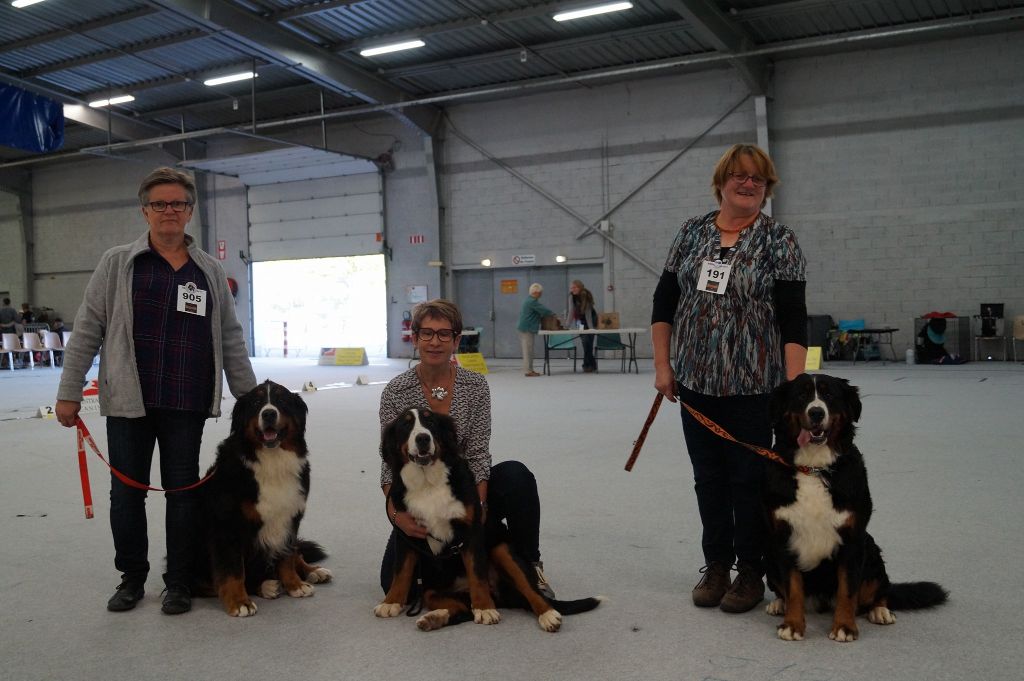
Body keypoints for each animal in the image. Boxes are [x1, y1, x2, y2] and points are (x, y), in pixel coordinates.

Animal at [192, 378, 331, 614]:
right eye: (256, 402)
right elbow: (233, 570)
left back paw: (313, 572)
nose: (268, 414)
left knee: (297, 553)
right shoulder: (227, 525)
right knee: (205, 583)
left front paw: (295, 585)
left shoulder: (290, 517)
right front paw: (239, 602)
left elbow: (287, 556)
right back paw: (266, 586)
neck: (272, 461)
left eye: (282, 401)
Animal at [376, 405, 602, 630]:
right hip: (430, 590)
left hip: (503, 550)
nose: (423, 438)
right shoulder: (406, 532)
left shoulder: (471, 531)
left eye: (430, 422)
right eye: (406, 425)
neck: (427, 483)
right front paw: (391, 602)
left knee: (531, 591)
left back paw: (548, 614)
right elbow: (401, 572)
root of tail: (502, 595)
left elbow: (477, 573)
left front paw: (484, 608)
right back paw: (434, 618)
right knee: (463, 610)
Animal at [765, 374, 946, 639]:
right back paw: (778, 605)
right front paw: (792, 625)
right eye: (801, 395)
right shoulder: (783, 537)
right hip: (769, 556)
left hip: (870, 550)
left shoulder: (852, 538)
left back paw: (880, 611)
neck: (814, 468)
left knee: (878, 593)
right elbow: (793, 588)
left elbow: (848, 590)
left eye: (829, 395)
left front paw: (844, 627)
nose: (816, 412)